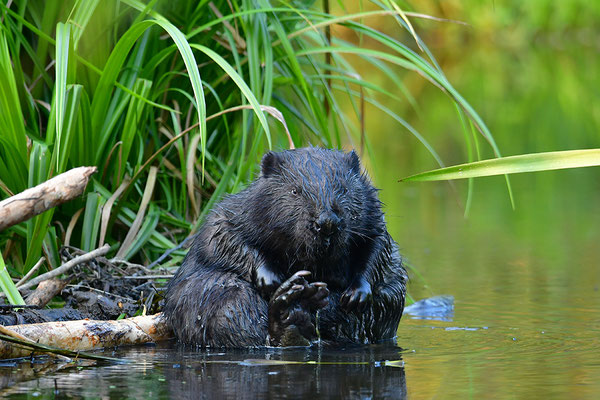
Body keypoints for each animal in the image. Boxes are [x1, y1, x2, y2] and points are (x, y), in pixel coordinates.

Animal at [164, 147, 408, 346]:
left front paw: (357, 294)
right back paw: (294, 304)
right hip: (216, 295)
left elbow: (378, 248)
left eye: (345, 190)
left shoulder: (373, 216)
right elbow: (226, 236)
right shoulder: (237, 210)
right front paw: (271, 280)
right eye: (295, 191)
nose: (327, 222)